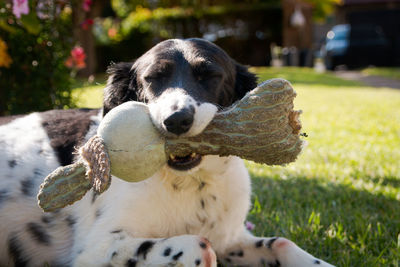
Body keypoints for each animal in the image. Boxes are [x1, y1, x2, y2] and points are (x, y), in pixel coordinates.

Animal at [0, 38, 334, 266]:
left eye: (209, 76)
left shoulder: (231, 238)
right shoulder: (94, 250)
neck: (188, 185)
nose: (176, 120)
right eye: (153, 78)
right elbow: (199, 245)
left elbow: (283, 244)